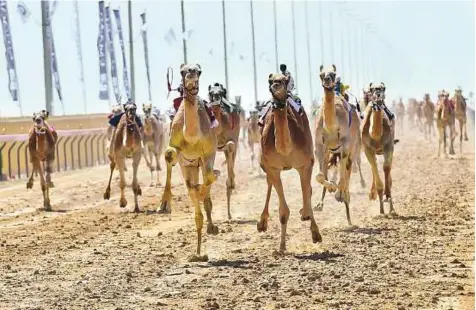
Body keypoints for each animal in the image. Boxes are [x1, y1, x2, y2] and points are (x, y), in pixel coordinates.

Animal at [159, 63, 220, 260]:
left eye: (199, 71)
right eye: (182, 71)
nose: (191, 73)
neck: (192, 136)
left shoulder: (209, 151)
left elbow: (209, 176)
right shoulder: (178, 150)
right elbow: (169, 154)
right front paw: (164, 204)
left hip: (198, 162)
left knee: (206, 183)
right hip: (189, 165)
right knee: (190, 189)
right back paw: (198, 252)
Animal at [207, 81, 242, 218]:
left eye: (222, 92)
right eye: (210, 93)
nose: (216, 97)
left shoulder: (234, 139)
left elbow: (231, 145)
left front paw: (231, 183)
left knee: (231, 152)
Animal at [255, 71, 322, 252]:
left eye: (285, 80)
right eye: (270, 80)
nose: (276, 85)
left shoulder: (306, 163)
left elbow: (307, 193)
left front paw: (314, 230)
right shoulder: (272, 167)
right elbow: (283, 211)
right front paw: (281, 247)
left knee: (308, 190)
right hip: (264, 163)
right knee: (269, 183)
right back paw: (262, 223)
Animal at [314, 64, 362, 224]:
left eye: (333, 73)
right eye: (321, 74)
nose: (327, 80)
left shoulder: (346, 144)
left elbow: (343, 174)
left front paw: (339, 193)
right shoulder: (319, 145)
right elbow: (320, 176)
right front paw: (331, 187)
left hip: (353, 146)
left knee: (348, 169)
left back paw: (345, 201)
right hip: (331, 151)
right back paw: (320, 203)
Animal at [362, 82, 400, 213]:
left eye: (383, 88)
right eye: (372, 89)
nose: (378, 91)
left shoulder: (389, 145)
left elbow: (386, 167)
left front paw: (388, 196)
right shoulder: (367, 149)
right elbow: (375, 168)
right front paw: (381, 209)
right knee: (373, 167)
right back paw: (373, 195)